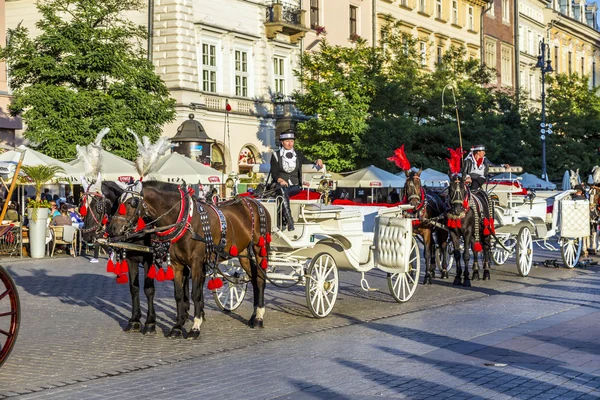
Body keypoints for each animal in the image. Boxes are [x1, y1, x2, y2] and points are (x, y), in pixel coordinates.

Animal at [79, 181, 161, 334]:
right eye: (82, 204)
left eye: (99, 206)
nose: (86, 234)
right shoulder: (131, 260)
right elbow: (134, 288)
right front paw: (134, 321)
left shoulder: (149, 260)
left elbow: (149, 290)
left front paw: (150, 323)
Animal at [106, 181, 270, 338]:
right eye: (117, 202)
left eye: (132, 202)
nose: (112, 228)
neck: (183, 220)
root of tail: (256, 202)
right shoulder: (175, 264)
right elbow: (177, 294)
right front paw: (177, 327)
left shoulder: (194, 263)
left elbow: (193, 293)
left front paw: (194, 327)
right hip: (244, 254)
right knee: (254, 279)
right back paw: (254, 316)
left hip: (259, 249)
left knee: (261, 279)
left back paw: (259, 318)